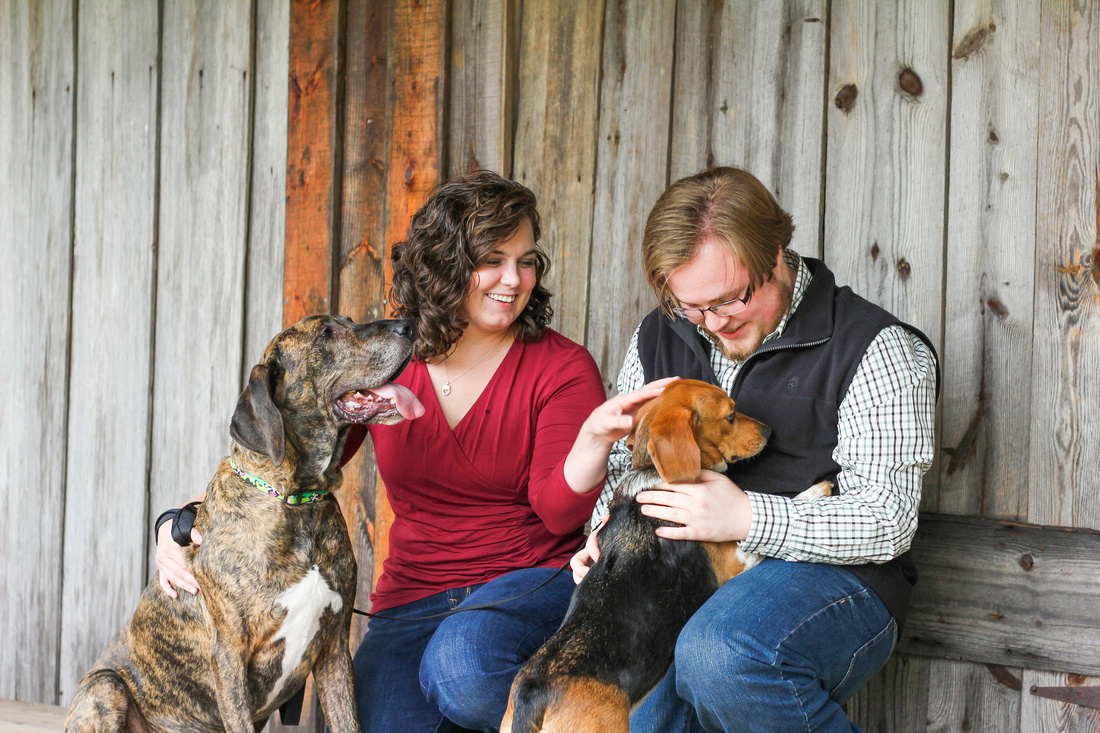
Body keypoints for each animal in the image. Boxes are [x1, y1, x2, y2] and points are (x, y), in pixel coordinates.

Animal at [65, 314, 420, 730]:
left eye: (348, 321)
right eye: (326, 333)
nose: (408, 326)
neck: (297, 503)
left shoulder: (334, 648)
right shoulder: (230, 653)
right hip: (103, 686)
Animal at [503, 378, 827, 726]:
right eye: (730, 415)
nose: (768, 432)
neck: (652, 475)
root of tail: (534, 694)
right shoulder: (736, 562)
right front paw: (815, 491)